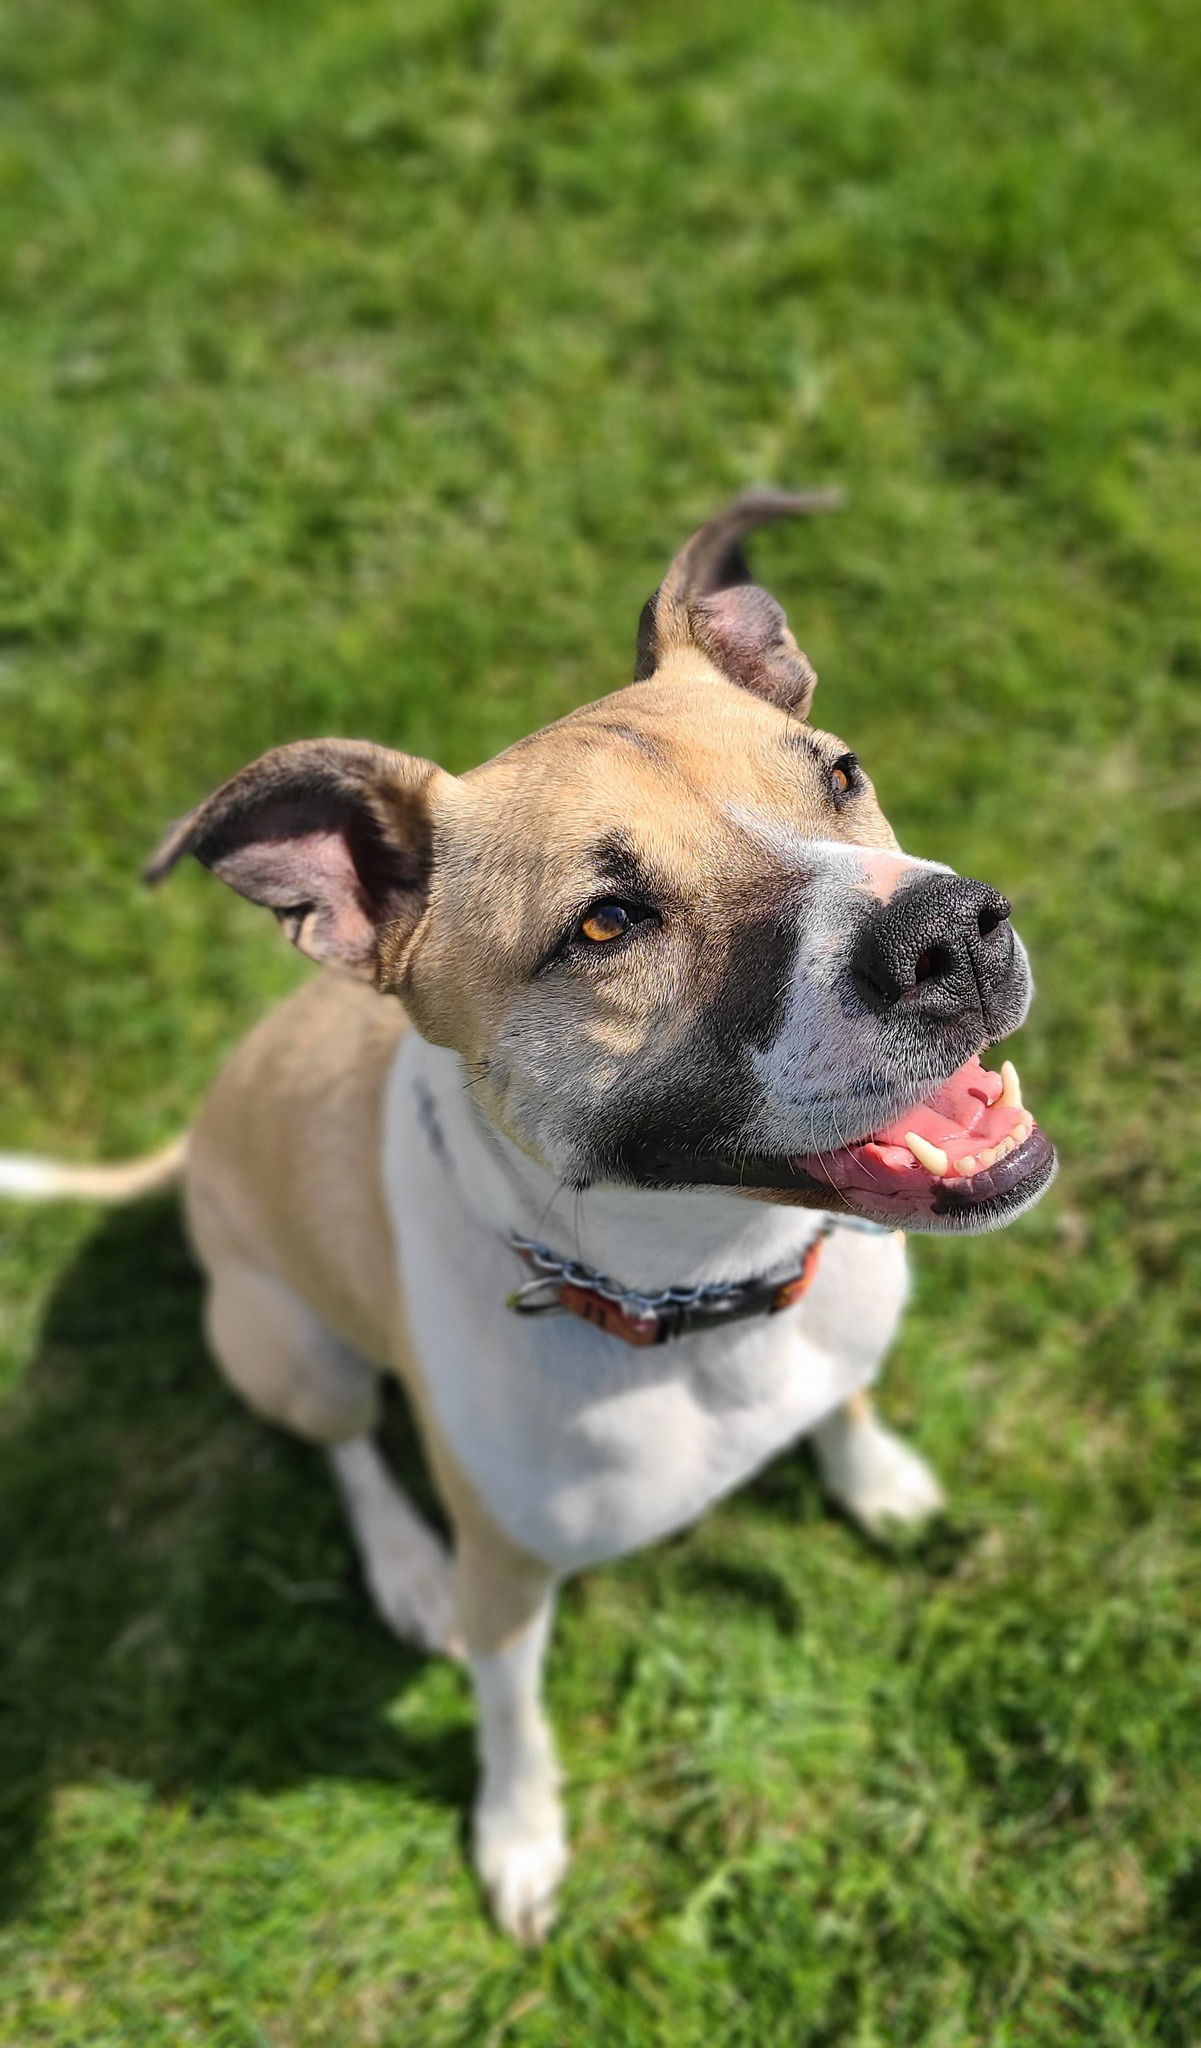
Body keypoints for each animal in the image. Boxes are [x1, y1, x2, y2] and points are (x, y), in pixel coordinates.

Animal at [0, 491, 1049, 1933]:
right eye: (604, 924)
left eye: (837, 772)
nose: (956, 931)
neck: (708, 1292)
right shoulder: (507, 1579)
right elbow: (513, 1718)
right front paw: (518, 1835)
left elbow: (844, 1402)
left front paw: (874, 1472)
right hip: (288, 1344)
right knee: (345, 1446)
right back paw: (402, 1564)